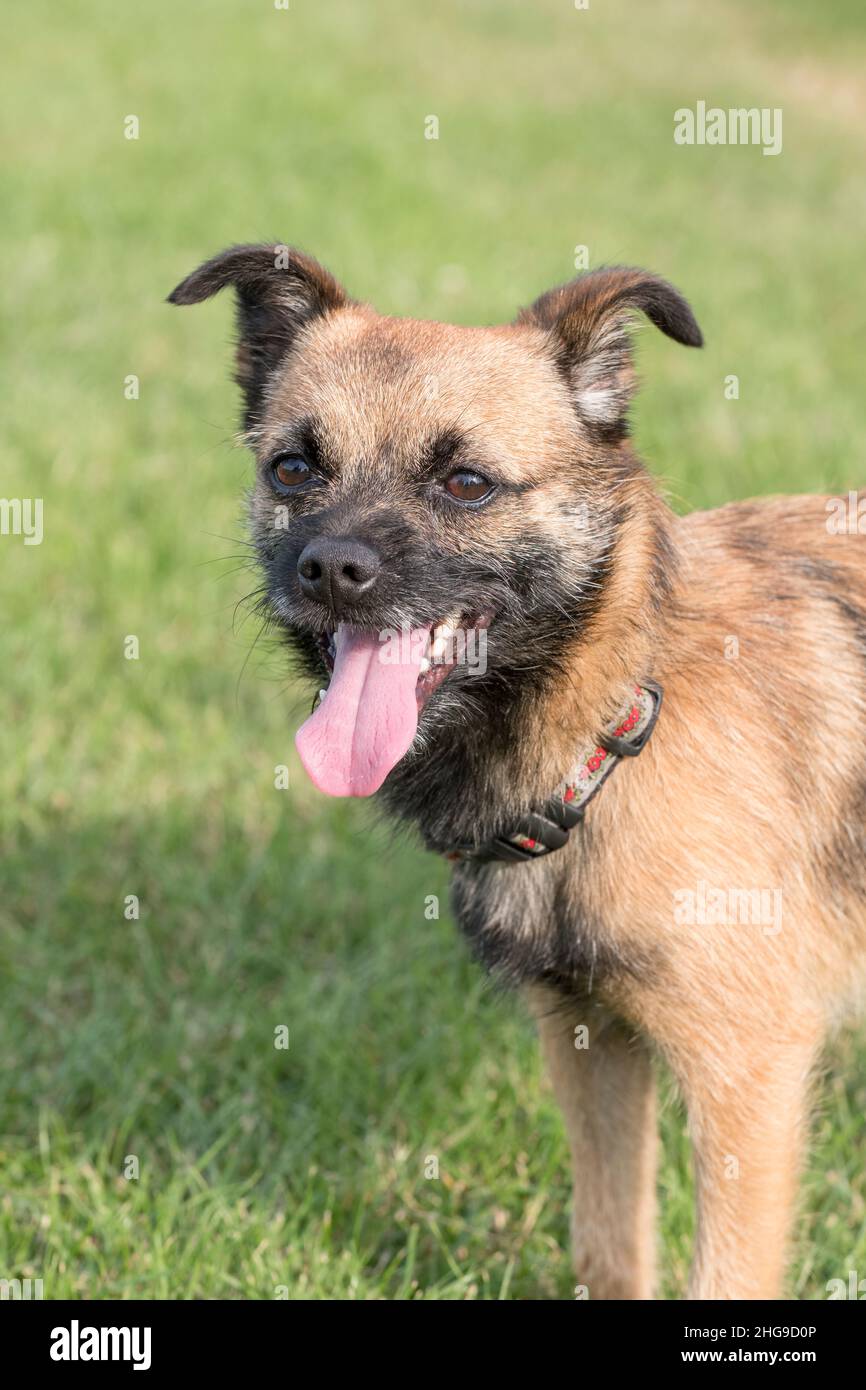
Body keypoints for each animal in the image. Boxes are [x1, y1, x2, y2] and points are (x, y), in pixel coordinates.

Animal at [167, 244, 866, 1295]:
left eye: (466, 483)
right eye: (294, 469)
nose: (330, 570)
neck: (619, 719)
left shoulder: (747, 1077)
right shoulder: (592, 1039)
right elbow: (610, 1245)